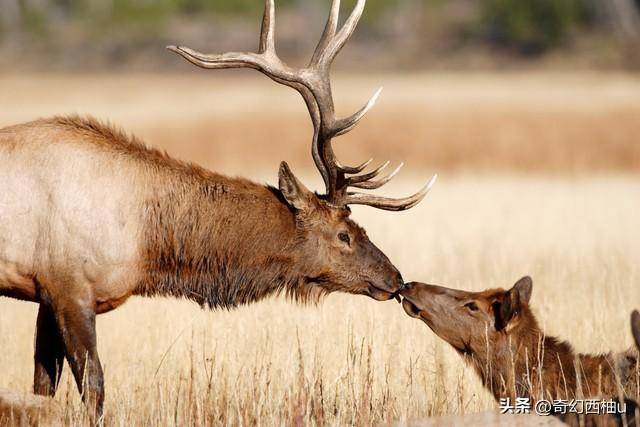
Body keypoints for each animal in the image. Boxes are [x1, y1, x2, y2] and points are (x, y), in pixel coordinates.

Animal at [0, 0, 436, 422]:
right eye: (343, 234)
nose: (395, 278)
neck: (146, 241)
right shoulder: (69, 287)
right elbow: (93, 388)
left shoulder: (46, 296)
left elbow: (41, 386)